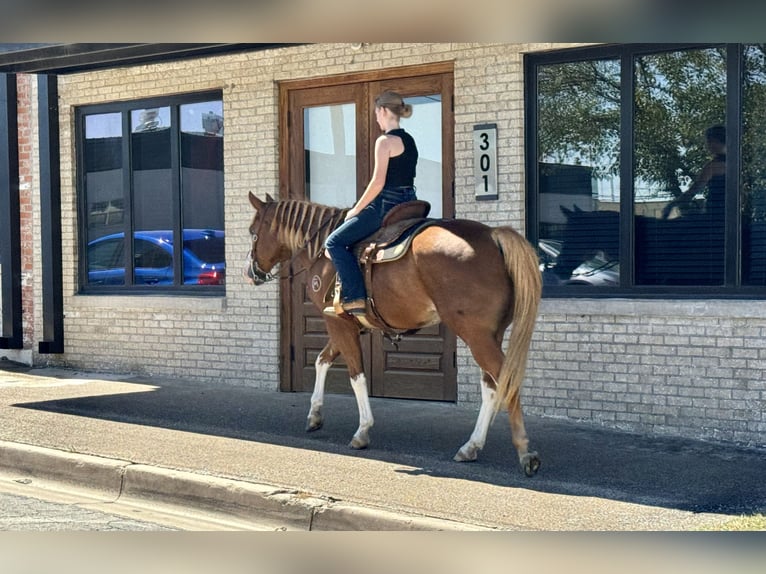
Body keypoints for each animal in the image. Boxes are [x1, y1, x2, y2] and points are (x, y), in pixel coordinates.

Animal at [246, 194, 544, 476]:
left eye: (252, 231)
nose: (250, 273)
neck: (322, 248)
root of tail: (493, 235)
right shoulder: (347, 324)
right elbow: (322, 360)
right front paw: (315, 415)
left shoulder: (336, 322)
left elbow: (356, 375)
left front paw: (362, 431)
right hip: (490, 335)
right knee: (492, 386)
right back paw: (471, 446)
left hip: (476, 335)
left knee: (506, 380)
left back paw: (525, 452)